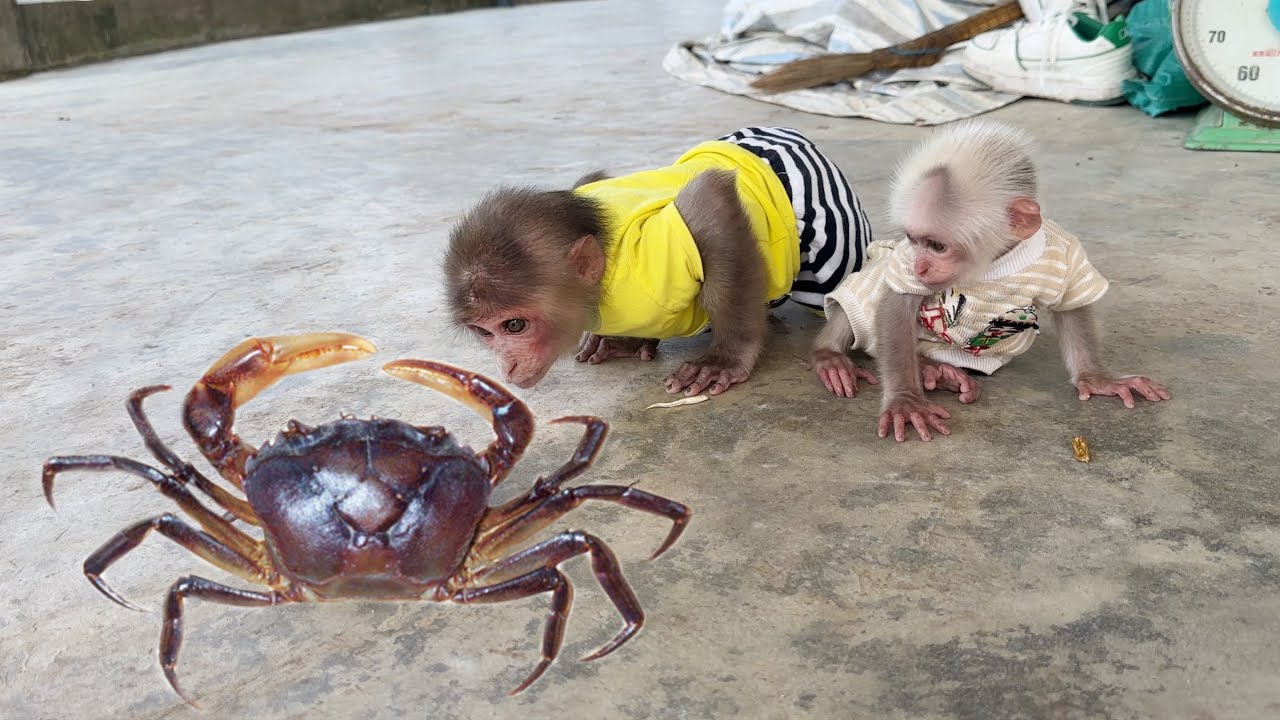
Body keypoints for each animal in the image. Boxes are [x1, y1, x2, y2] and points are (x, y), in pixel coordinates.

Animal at [445, 127, 872, 396]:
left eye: (514, 326)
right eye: (484, 333)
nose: (506, 368)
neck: (603, 288)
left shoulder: (650, 264)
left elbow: (710, 199)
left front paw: (724, 359)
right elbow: (592, 178)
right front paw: (621, 339)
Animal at [809, 118, 1170, 442]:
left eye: (937, 246)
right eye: (912, 240)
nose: (921, 268)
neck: (993, 264)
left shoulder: (1064, 250)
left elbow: (1072, 307)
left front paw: (1096, 378)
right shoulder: (904, 262)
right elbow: (897, 307)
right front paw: (905, 400)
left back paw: (936, 370)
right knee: (862, 300)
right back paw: (835, 355)